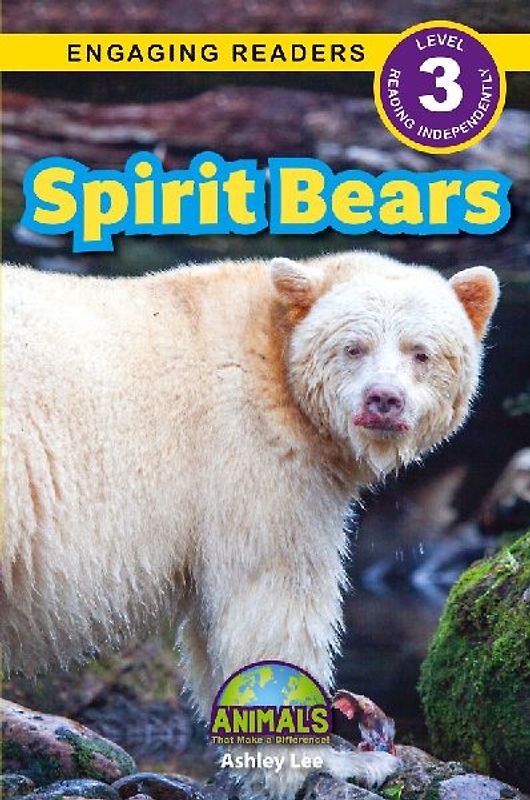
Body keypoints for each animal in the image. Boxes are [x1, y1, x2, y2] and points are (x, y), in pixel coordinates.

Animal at [2, 250, 500, 798]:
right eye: (354, 347)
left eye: (420, 353)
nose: (383, 400)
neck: (272, 355)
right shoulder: (250, 455)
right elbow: (271, 603)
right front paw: (339, 761)